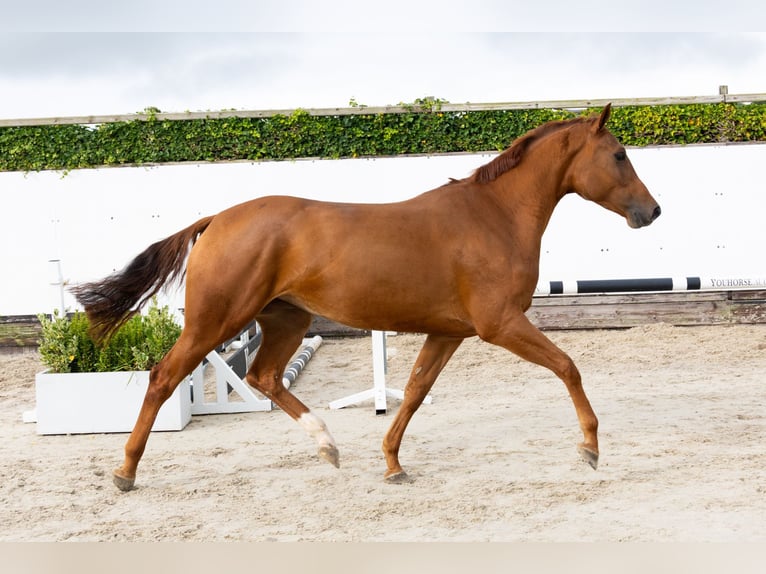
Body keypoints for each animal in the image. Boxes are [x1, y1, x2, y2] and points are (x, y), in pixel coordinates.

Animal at [72, 104, 661, 491]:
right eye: (619, 155)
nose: (651, 212)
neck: (493, 216)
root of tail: (216, 219)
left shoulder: (448, 332)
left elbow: (415, 391)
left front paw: (393, 464)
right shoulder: (500, 324)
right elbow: (567, 366)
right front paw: (590, 448)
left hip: (286, 321)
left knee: (264, 378)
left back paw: (328, 446)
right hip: (216, 321)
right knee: (164, 376)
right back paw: (125, 472)